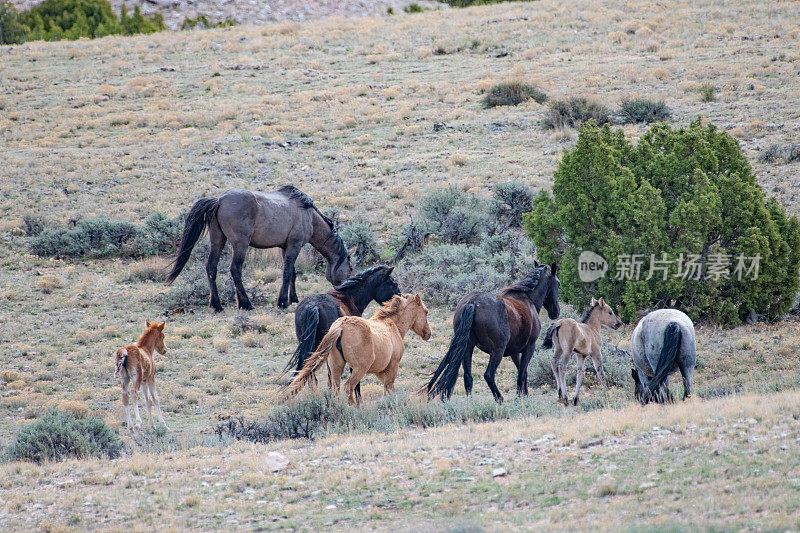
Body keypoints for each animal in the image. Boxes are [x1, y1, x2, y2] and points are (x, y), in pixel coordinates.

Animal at [424, 262, 564, 404]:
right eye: (558, 283)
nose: (556, 312)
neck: (527, 299)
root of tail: (472, 303)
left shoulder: (514, 352)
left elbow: (522, 373)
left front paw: (523, 396)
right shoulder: (529, 347)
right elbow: (522, 374)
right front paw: (520, 399)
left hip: (467, 348)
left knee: (468, 376)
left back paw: (471, 402)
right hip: (497, 350)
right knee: (488, 375)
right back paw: (499, 398)